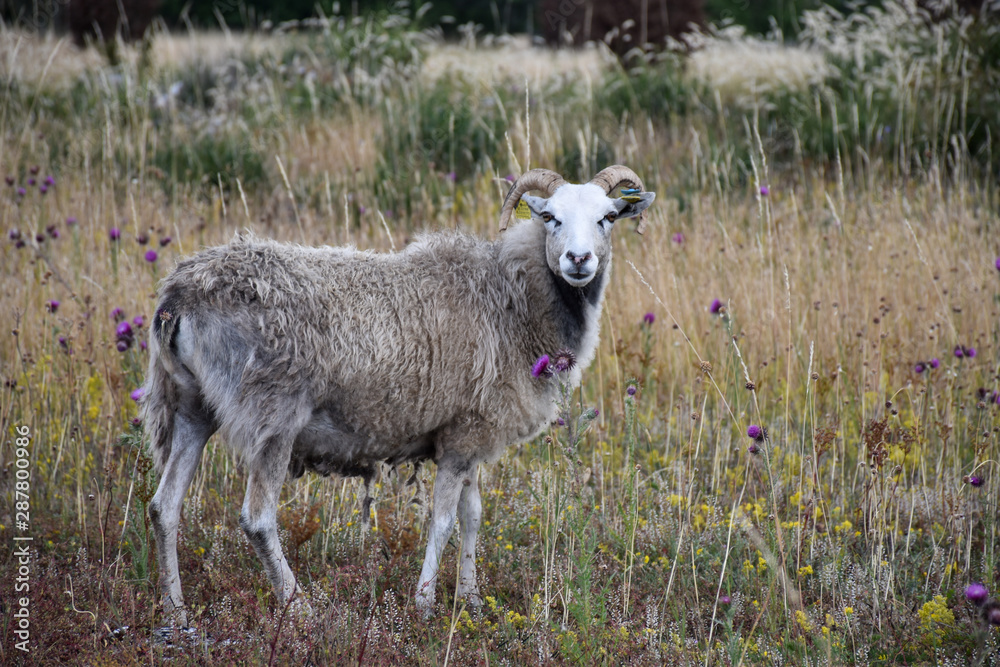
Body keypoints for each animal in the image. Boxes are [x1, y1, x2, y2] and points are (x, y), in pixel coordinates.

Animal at [141, 165, 655, 624]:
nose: (578, 260)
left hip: (190, 407)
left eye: (608, 217)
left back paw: (175, 611)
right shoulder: (463, 439)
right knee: (257, 518)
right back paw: (299, 607)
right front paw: (424, 605)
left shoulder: (468, 432)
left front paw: (469, 599)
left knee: (164, 508)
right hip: (273, 414)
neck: (512, 301)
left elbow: (472, 515)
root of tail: (179, 296)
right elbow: (442, 521)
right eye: (550, 217)